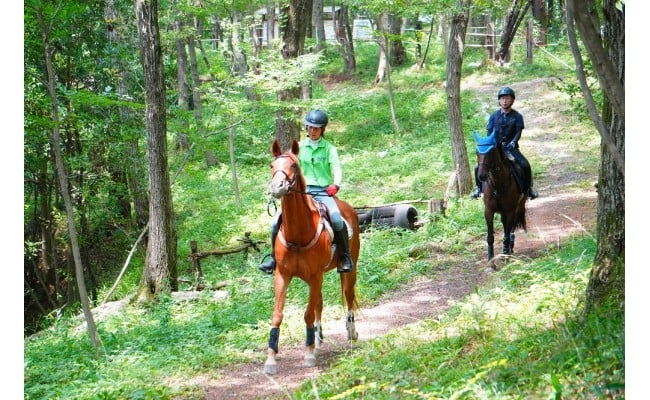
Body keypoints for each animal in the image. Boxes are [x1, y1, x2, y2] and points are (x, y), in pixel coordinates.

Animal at [264, 139, 360, 374]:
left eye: (293, 166)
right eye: (272, 165)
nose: (277, 187)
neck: (298, 234)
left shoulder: (316, 275)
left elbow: (307, 313)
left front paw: (307, 354)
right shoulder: (283, 275)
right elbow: (277, 315)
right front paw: (271, 358)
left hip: (348, 268)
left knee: (348, 295)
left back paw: (351, 333)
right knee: (319, 303)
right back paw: (317, 340)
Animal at [474, 130, 524, 260]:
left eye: (491, 152)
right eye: (477, 152)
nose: (482, 176)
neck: (498, 185)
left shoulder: (510, 210)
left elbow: (506, 233)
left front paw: (506, 254)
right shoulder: (488, 210)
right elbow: (490, 237)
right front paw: (490, 258)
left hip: (519, 205)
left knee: (511, 228)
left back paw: (510, 246)